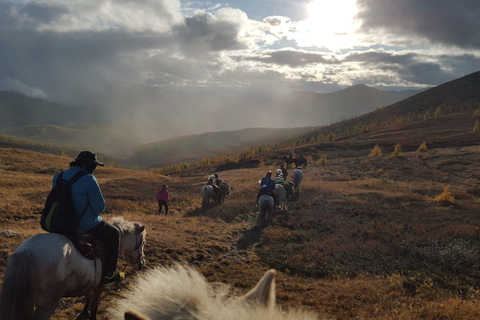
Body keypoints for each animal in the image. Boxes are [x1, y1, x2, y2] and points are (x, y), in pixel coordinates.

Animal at [0, 216, 146, 320]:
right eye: (143, 242)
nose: (142, 264)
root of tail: (26, 252)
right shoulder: (100, 286)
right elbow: (95, 305)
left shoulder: (90, 281)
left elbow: (88, 296)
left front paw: (85, 312)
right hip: (46, 303)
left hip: (28, 302)